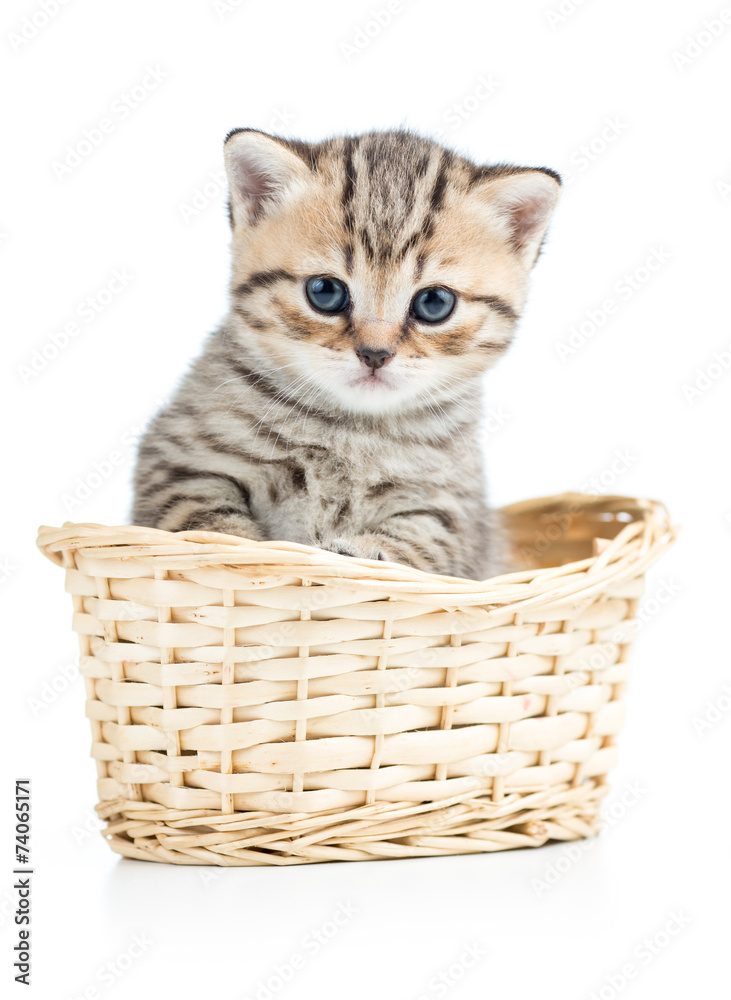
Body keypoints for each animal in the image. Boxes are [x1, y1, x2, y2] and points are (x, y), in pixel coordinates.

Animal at [133, 129, 560, 580]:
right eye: (325, 292)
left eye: (435, 303)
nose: (375, 354)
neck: (350, 429)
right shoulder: (177, 462)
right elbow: (208, 523)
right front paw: (243, 553)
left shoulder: (455, 512)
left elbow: (421, 544)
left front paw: (361, 555)